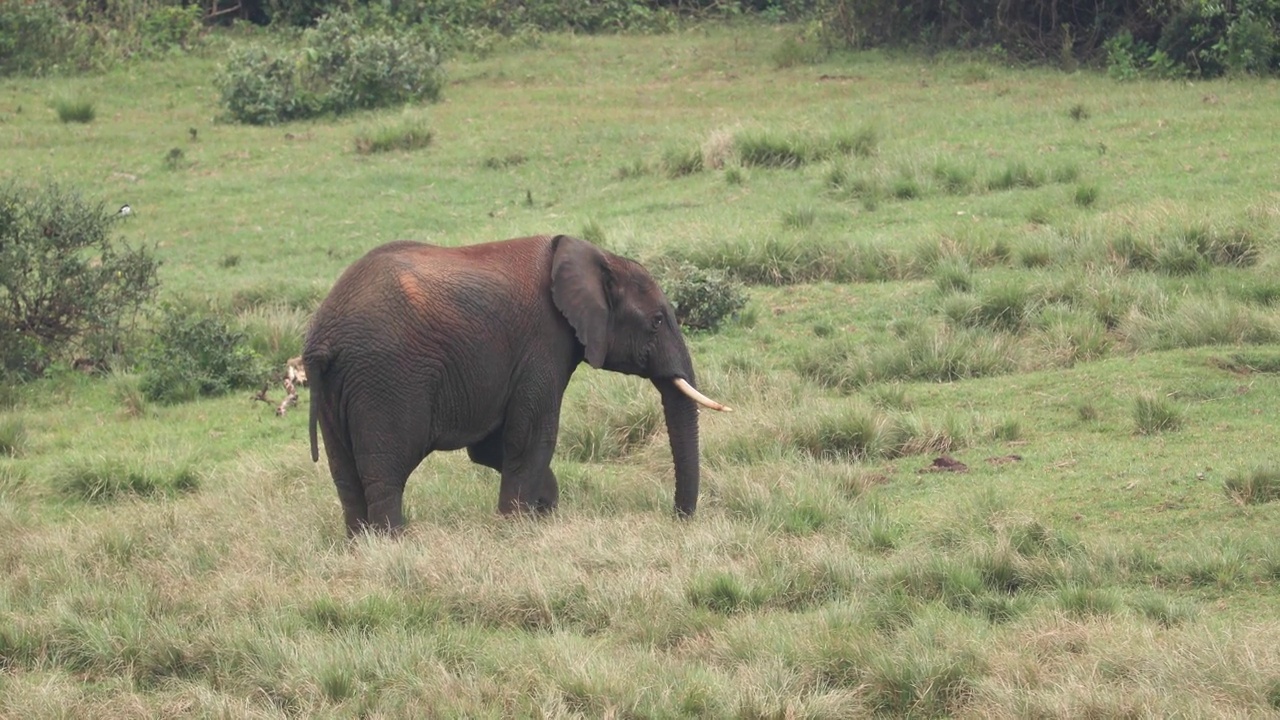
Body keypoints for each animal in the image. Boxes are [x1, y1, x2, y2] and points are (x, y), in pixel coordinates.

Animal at [299, 233, 732, 535]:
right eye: (657, 321)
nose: (677, 518)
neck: (596, 257)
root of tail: (323, 336)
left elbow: (490, 448)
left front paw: (543, 510)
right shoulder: (543, 342)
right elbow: (531, 437)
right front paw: (516, 526)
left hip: (339, 388)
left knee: (345, 475)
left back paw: (361, 545)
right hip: (386, 380)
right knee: (385, 473)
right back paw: (393, 544)